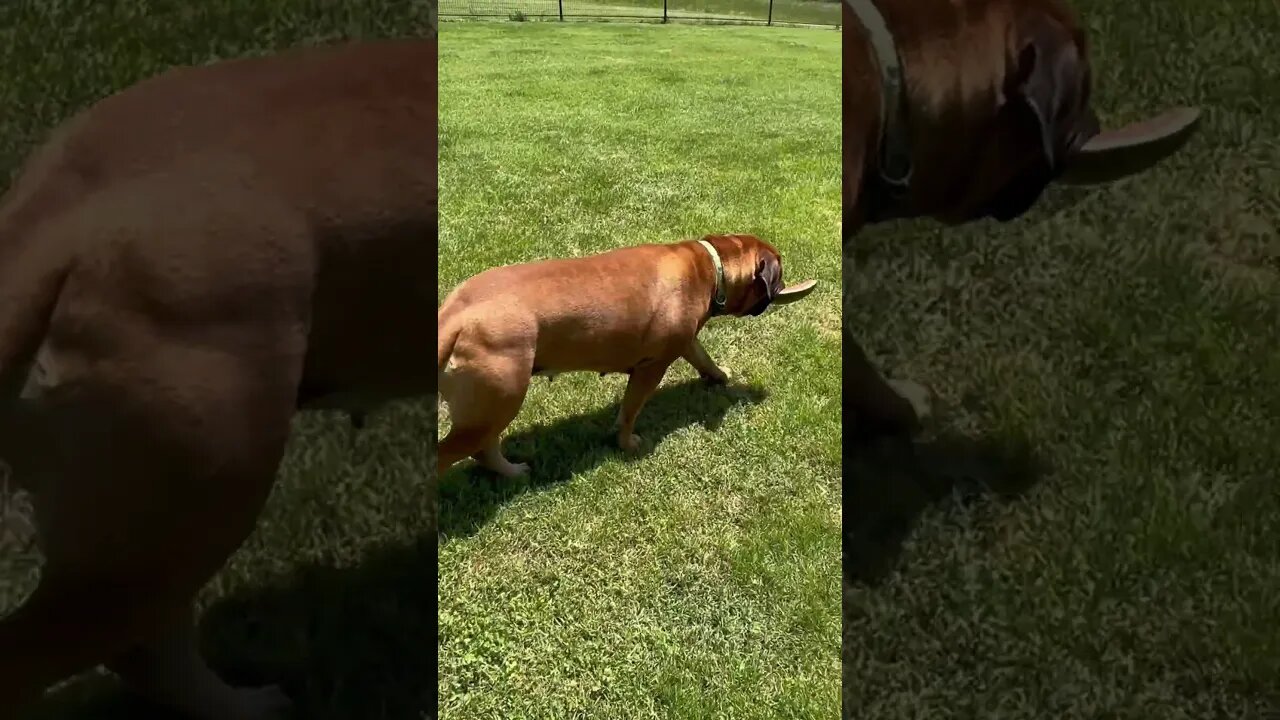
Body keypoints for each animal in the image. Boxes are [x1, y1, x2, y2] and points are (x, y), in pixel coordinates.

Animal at [437, 233, 819, 474]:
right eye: (779, 274)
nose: (783, 289)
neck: (711, 267)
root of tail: (454, 316)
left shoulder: (685, 342)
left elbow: (702, 357)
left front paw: (718, 376)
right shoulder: (652, 366)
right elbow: (630, 410)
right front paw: (627, 443)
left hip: (492, 409)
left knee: (485, 450)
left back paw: (513, 471)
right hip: (496, 402)